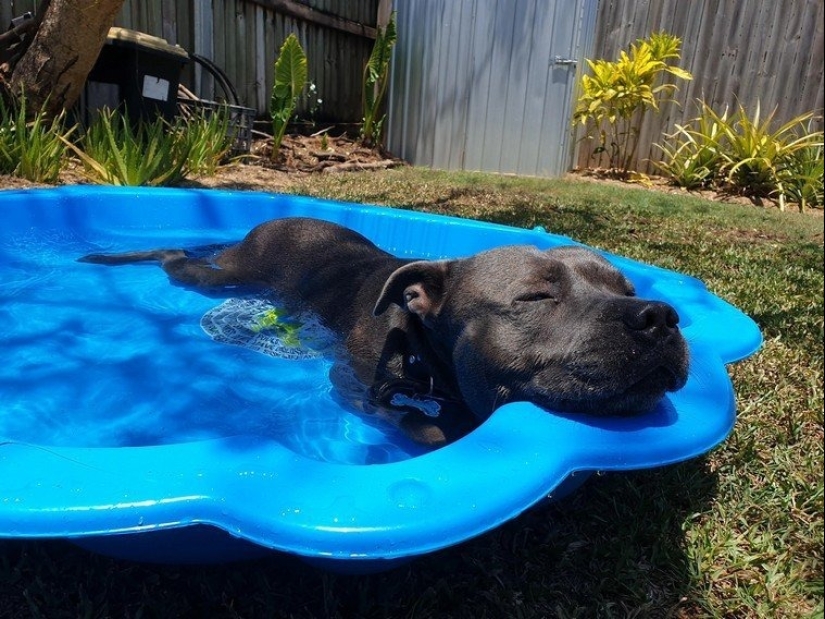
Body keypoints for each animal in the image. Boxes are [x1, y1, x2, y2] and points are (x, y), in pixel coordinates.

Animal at [82, 218, 688, 446]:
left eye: (627, 289)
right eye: (537, 297)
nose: (659, 315)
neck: (423, 351)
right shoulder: (356, 391)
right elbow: (425, 429)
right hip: (222, 275)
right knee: (175, 258)